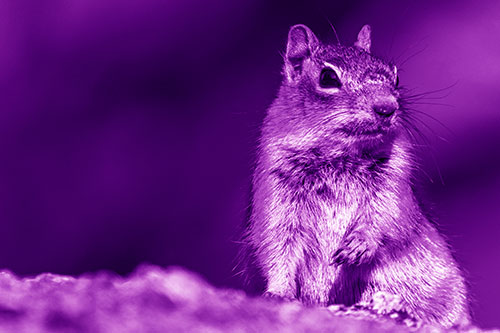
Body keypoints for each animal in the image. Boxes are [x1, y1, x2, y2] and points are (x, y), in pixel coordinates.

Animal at [240, 24, 470, 326]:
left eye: (396, 76)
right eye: (327, 77)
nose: (386, 107)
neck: (338, 155)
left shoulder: (394, 181)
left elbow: (389, 216)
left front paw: (360, 244)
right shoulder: (275, 190)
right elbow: (276, 245)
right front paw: (278, 292)